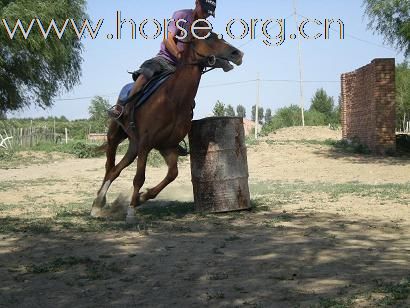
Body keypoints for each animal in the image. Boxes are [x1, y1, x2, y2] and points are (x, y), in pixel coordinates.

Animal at [90, 28, 243, 223]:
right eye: (208, 37)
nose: (237, 54)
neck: (173, 99)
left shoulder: (167, 146)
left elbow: (172, 174)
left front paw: (141, 198)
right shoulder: (146, 144)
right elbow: (139, 178)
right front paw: (131, 212)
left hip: (134, 145)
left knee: (116, 169)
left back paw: (101, 203)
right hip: (115, 137)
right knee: (110, 167)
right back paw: (98, 203)